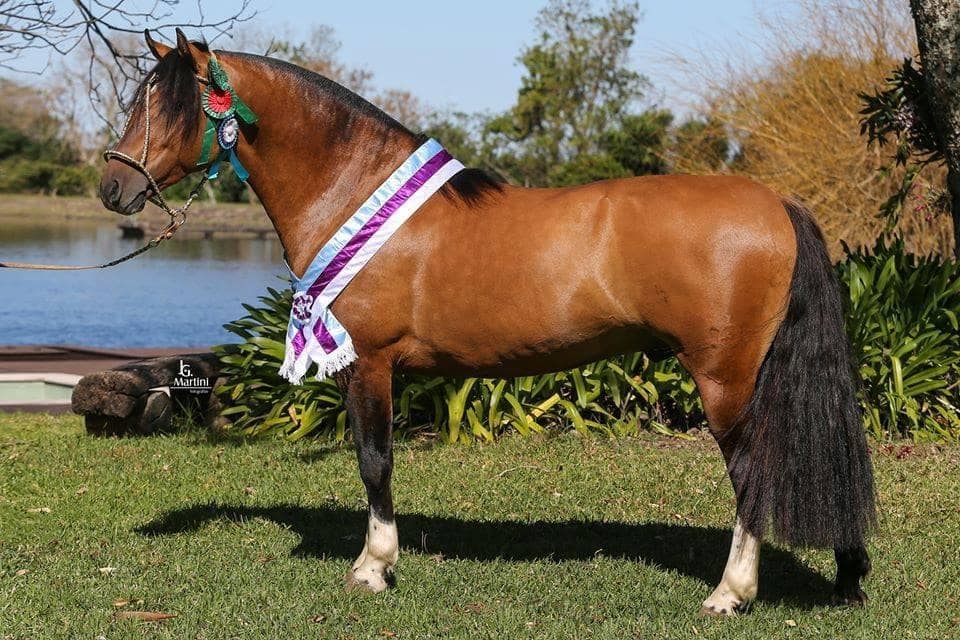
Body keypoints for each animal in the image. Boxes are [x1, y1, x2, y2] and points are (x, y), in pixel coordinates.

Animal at [99, 29, 876, 616]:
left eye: (171, 105)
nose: (113, 186)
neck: (354, 190)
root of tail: (777, 203)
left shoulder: (369, 362)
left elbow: (374, 460)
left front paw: (373, 566)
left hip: (724, 378)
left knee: (751, 474)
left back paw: (730, 593)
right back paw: (847, 574)